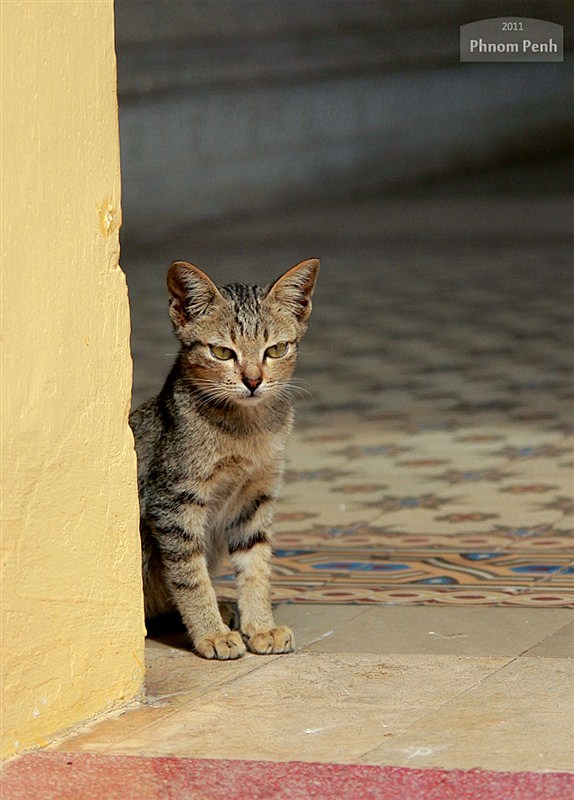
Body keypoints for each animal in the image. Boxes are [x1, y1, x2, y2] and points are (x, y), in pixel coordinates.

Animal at [129, 260, 322, 660]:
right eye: (221, 352)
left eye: (276, 349)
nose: (253, 380)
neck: (246, 431)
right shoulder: (172, 504)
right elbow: (190, 577)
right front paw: (211, 633)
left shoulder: (256, 498)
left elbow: (257, 567)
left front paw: (260, 626)